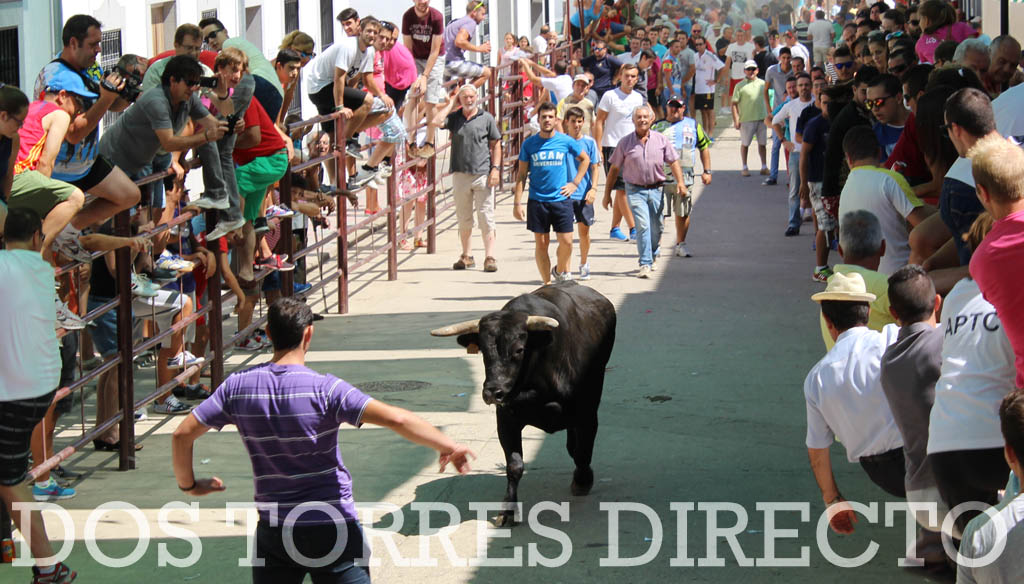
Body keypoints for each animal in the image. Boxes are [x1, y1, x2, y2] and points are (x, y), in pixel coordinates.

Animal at [432, 280, 614, 522]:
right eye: (483, 352)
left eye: (519, 350)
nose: (493, 392)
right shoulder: (506, 420)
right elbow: (514, 465)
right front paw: (508, 510)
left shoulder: (587, 412)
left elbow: (584, 450)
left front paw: (582, 481)